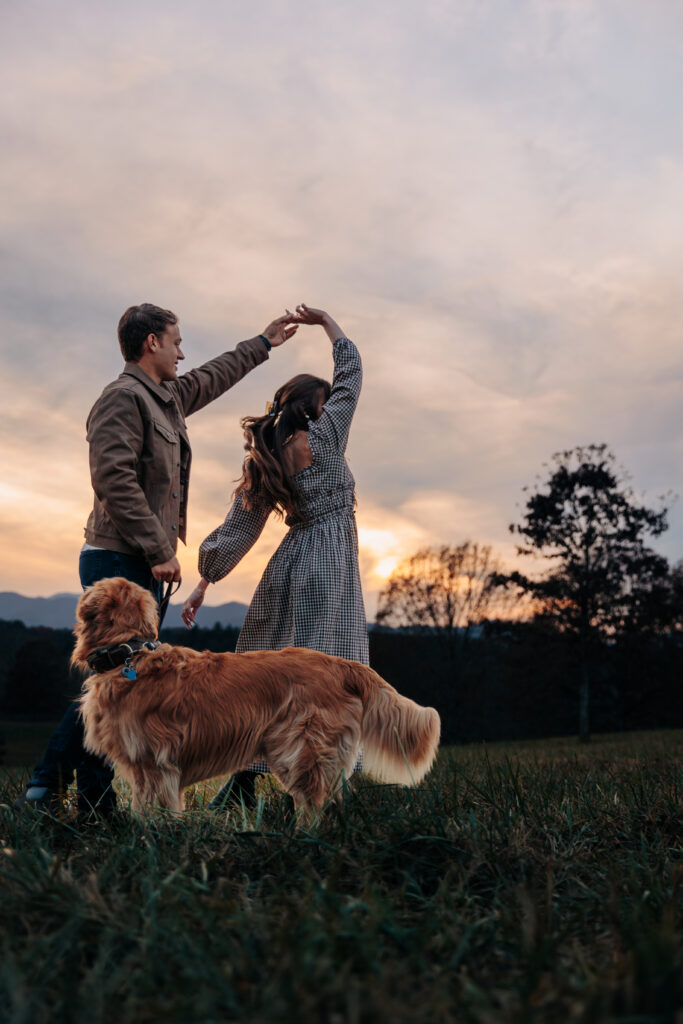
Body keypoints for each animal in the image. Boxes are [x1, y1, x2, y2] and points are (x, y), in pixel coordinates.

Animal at [72, 581, 440, 811]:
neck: (128, 653)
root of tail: (340, 663)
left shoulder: (154, 763)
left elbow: (151, 811)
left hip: (301, 747)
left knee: (313, 802)